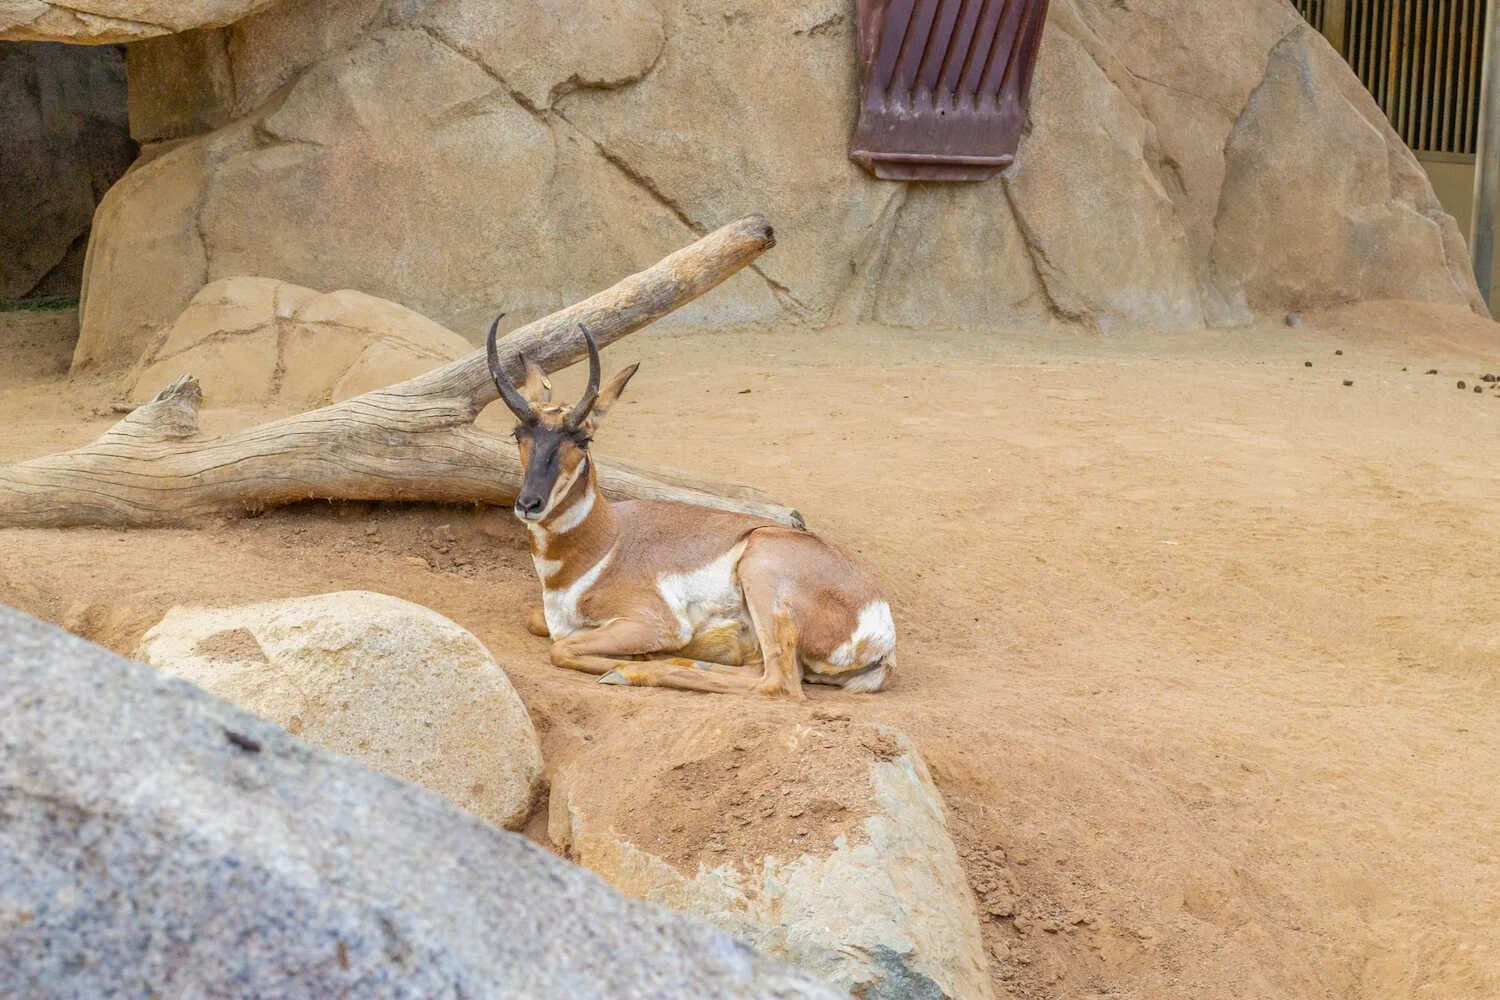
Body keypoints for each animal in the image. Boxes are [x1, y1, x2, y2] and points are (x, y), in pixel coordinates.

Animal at [487, 320, 895, 698]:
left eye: (583, 439)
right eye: (518, 433)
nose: (529, 504)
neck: (607, 542)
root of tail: (881, 625)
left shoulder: (651, 623)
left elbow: (562, 648)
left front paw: (632, 659)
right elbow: (537, 621)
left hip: (761, 571)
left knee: (777, 683)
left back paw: (631, 670)